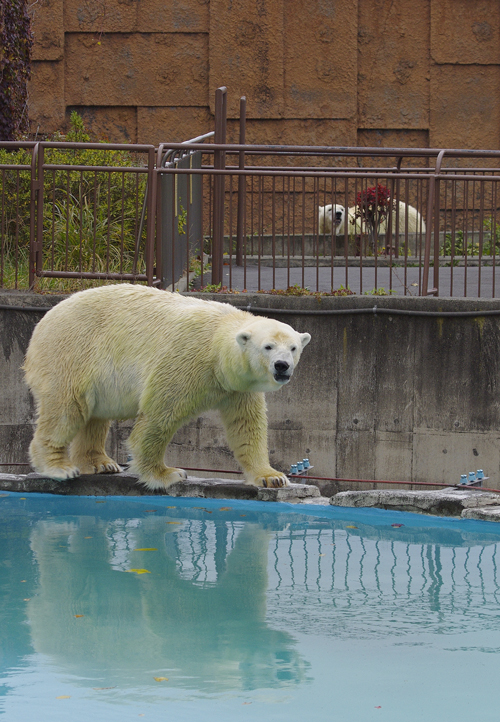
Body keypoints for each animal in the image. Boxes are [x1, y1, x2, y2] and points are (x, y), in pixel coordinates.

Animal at [24, 284, 312, 492]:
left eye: (293, 347)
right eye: (268, 347)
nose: (282, 366)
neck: (217, 346)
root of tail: (44, 320)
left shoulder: (239, 386)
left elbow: (246, 425)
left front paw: (272, 477)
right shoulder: (185, 361)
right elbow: (158, 417)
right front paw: (167, 474)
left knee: (95, 417)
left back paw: (101, 463)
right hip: (71, 352)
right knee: (66, 408)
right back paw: (59, 467)